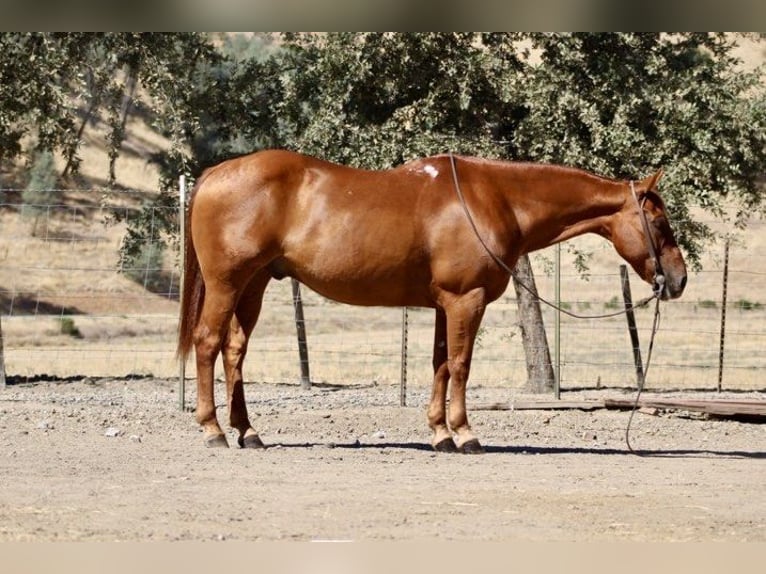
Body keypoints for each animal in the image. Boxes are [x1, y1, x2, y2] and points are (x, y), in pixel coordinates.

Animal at [177, 149, 687, 452]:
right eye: (660, 223)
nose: (679, 280)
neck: (495, 199)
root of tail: (214, 174)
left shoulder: (447, 304)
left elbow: (441, 364)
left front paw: (440, 432)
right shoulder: (467, 300)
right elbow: (460, 365)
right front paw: (464, 434)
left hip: (255, 285)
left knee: (234, 351)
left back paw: (248, 431)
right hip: (227, 285)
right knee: (207, 343)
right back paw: (214, 429)